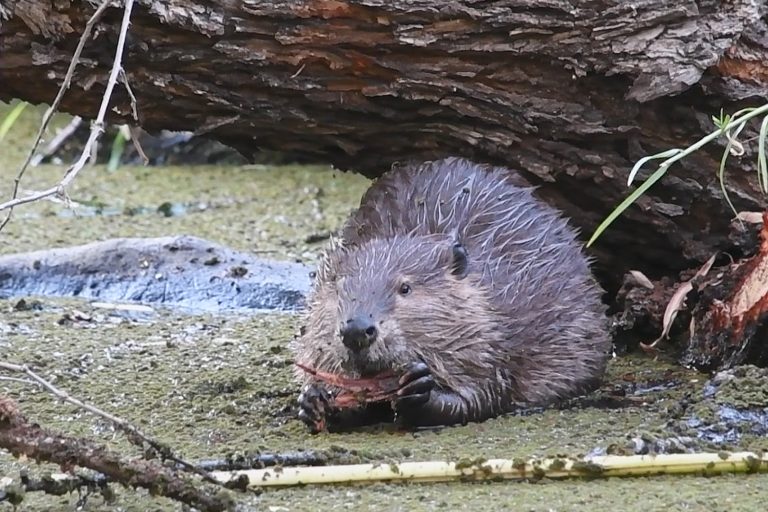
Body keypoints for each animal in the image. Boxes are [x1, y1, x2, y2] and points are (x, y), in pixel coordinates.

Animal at [292, 156, 612, 432]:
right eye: (339, 287)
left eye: (405, 288)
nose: (357, 330)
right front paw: (315, 399)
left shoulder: (491, 339)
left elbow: (483, 394)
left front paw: (419, 388)